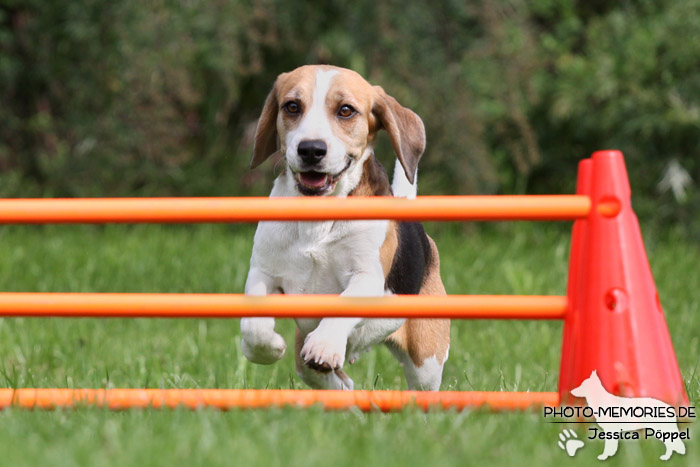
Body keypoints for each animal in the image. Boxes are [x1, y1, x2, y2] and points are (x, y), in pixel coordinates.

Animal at [239, 64, 448, 390]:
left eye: (346, 110)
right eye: (292, 106)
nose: (311, 149)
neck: (318, 217)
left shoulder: (366, 277)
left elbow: (343, 304)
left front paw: (325, 343)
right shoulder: (263, 271)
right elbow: (253, 325)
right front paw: (267, 347)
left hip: (426, 361)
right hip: (309, 369)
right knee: (340, 383)